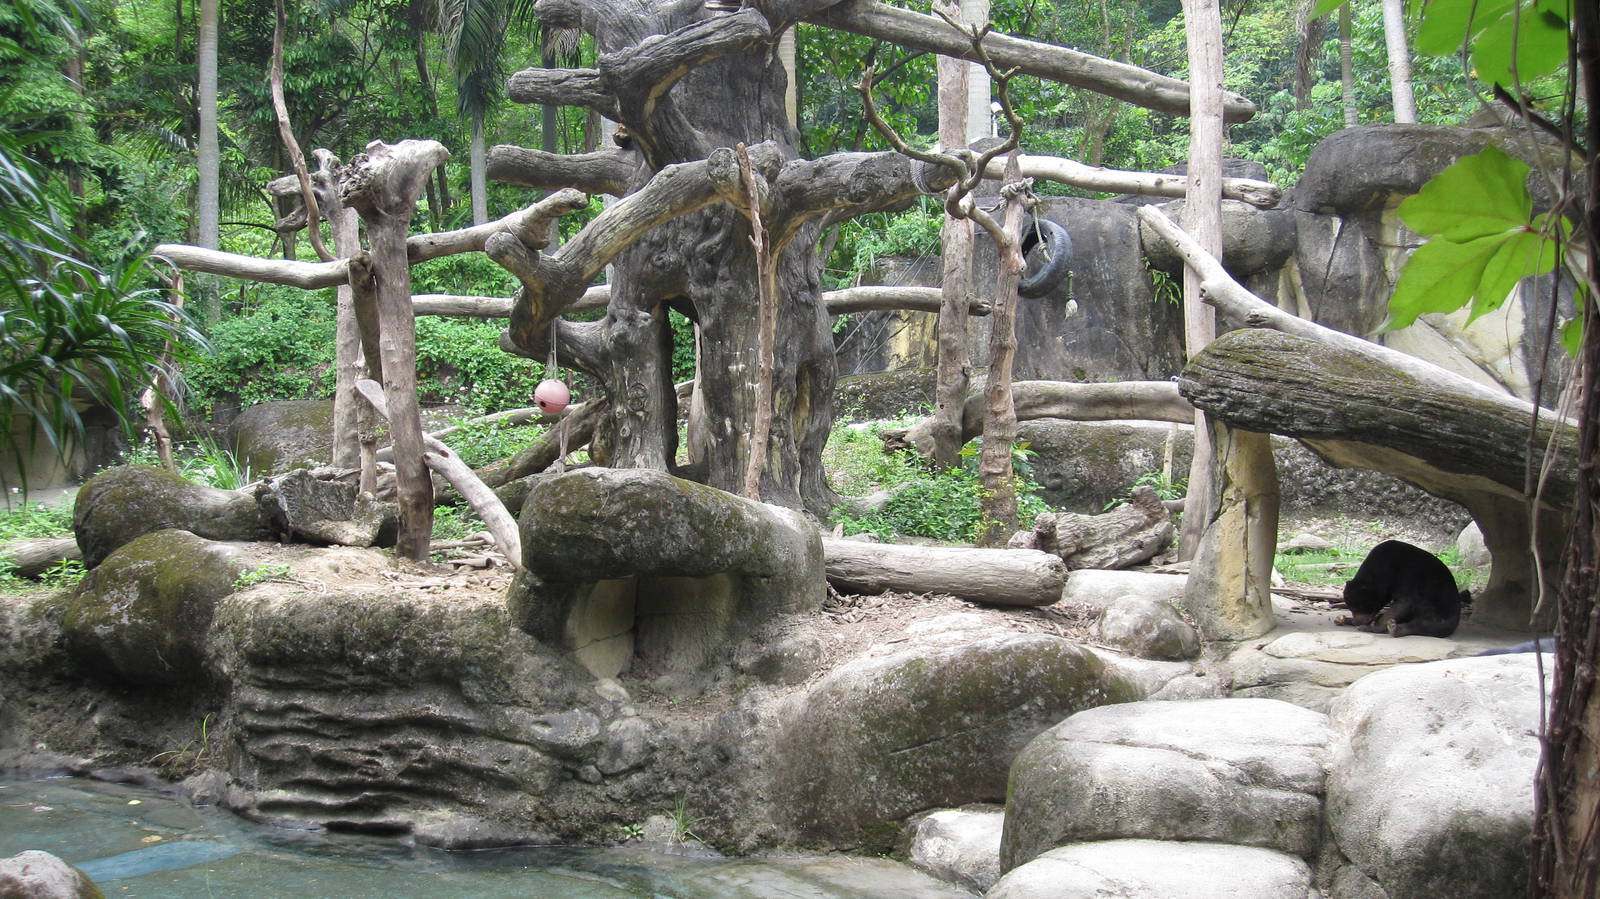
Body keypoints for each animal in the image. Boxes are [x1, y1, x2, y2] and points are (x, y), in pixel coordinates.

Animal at [1335, 539, 1467, 638]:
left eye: (1360, 607)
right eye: (1351, 608)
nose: (1357, 622)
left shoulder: (1407, 576)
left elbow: (1405, 603)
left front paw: (1372, 627)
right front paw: (1347, 619)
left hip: (1439, 611)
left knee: (1425, 624)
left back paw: (1394, 628)